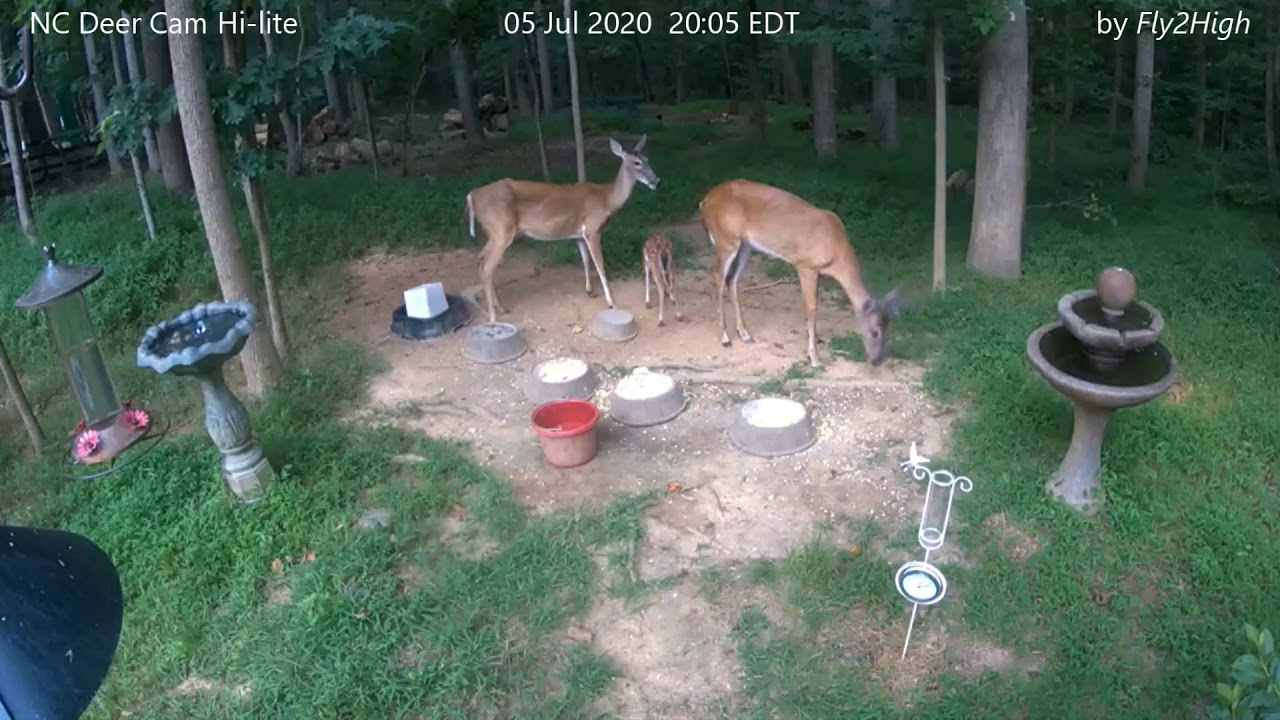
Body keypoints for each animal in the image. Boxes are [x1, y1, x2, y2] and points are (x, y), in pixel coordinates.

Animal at [463, 136, 659, 324]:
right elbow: (600, 265)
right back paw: (493, 317)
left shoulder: (579, 235)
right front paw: (611, 302)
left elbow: (585, 261)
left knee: (480, 260)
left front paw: (589, 291)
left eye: (648, 159)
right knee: (487, 266)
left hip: (493, 232)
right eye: (637, 162)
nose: (656, 181)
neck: (606, 199)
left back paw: (502, 308)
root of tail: (471, 196)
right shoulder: (593, 229)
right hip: (501, 230)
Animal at [698, 179, 903, 368]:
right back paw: (725, 338)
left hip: (745, 245)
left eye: (889, 330)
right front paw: (815, 359)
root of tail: (705, 201)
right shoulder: (806, 265)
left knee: (732, 279)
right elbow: (812, 307)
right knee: (718, 276)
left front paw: (816, 344)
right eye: (874, 331)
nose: (876, 361)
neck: (836, 253)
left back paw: (745, 334)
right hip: (726, 240)